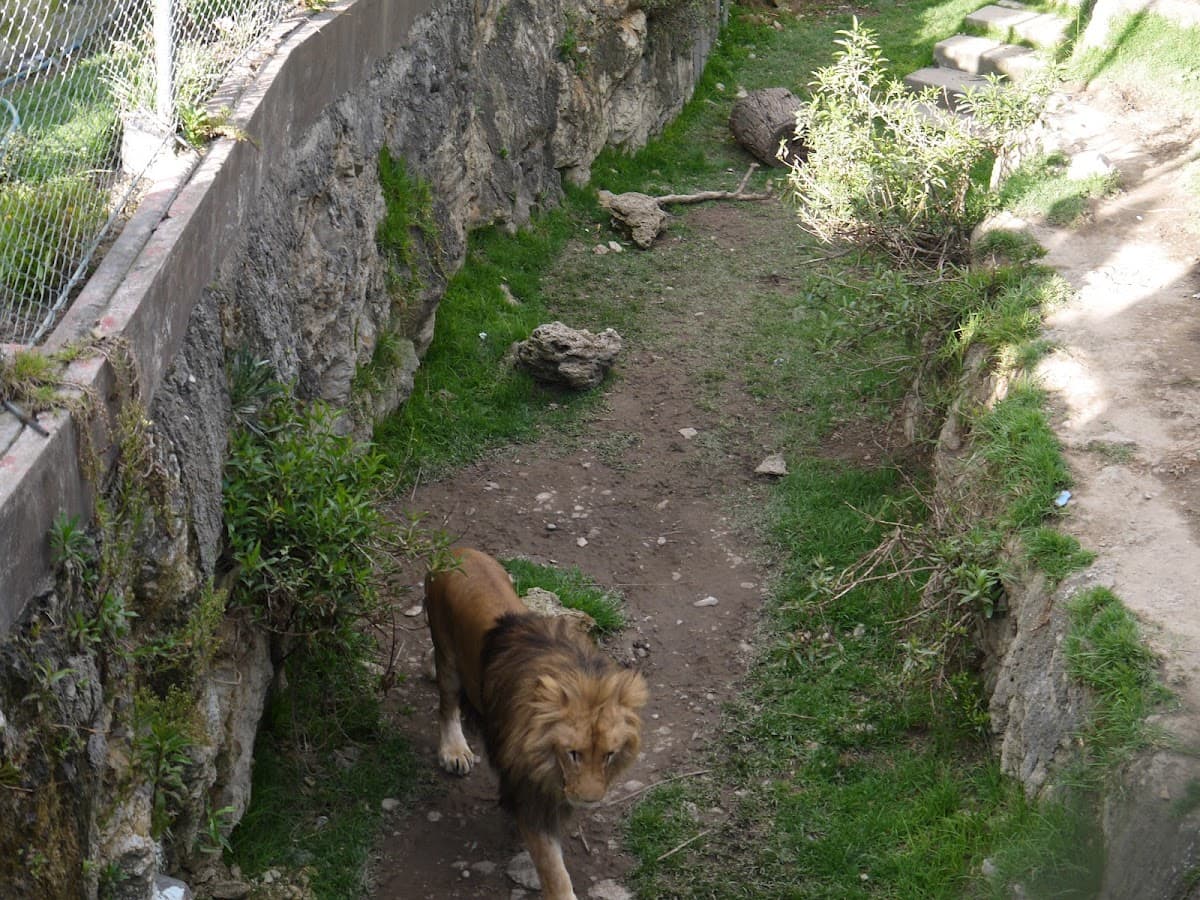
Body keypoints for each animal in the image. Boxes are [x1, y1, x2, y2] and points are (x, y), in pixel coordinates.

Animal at [424, 547, 648, 900]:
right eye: (573, 753)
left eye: (610, 755)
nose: (589, 800)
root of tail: (457, 550)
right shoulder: (528, 794)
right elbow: (551, 866)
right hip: (446, 654)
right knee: (447, 705)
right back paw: (454, 751)